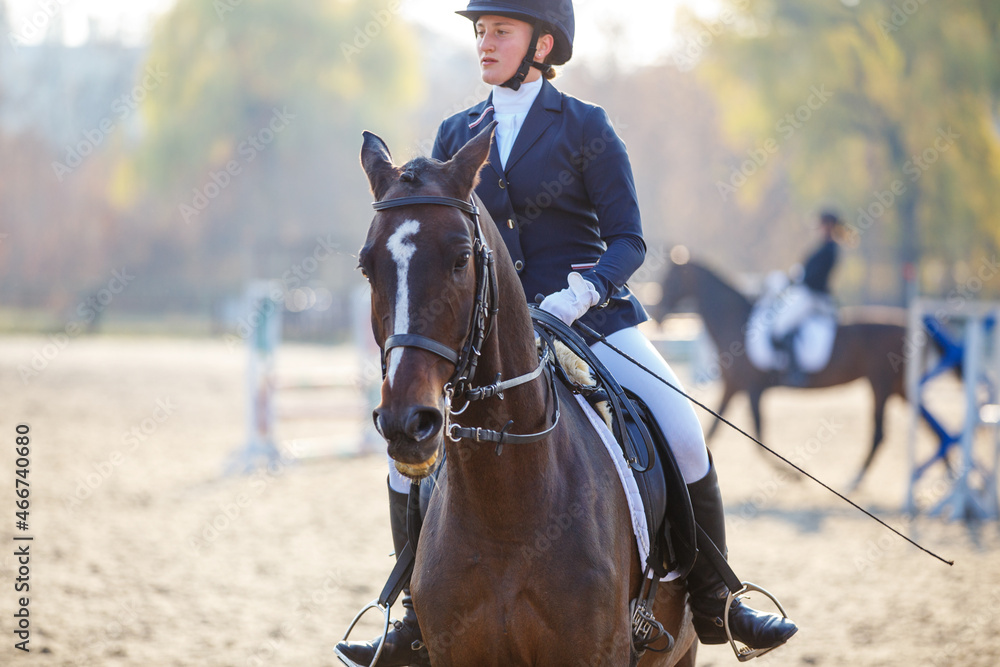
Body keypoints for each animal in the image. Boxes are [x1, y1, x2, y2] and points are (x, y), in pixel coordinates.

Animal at [652, 258, 909, 491]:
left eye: (670, 279)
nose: (658, 314)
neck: (737, 322)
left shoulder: (753, 389)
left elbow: (758, 436)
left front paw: (795, 475)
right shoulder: (733, 386)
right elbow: (713, 429)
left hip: (880, 384)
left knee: (879, 434)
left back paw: (855, 480)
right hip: (896, 387)